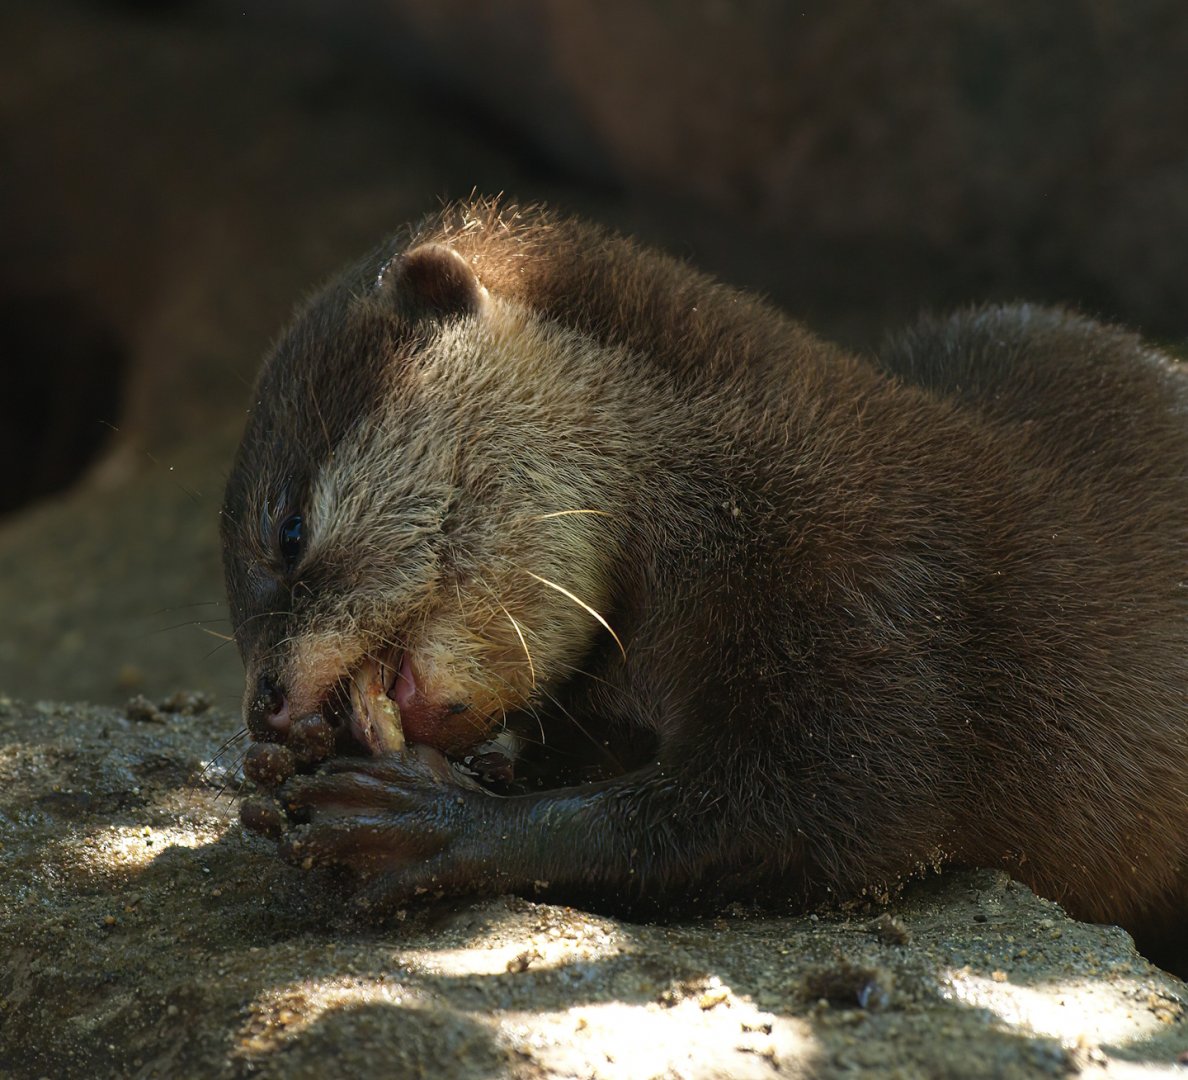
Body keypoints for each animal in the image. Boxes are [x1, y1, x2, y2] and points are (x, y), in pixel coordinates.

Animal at [223, 199, 1187, 961]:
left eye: (288, 532)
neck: (737, 480)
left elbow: (832, 815)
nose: (264, 704)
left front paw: (425, 824)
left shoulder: (878, 605)